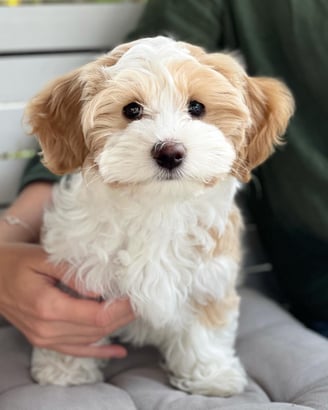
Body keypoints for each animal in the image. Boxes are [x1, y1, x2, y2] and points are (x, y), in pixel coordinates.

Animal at [25, 36, 294, 396]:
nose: (170, 151)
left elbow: (205, 331)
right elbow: (72, 330)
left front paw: (211, 376)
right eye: (132, 110)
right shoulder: (79, 271)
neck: (157, 207)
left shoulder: (209, 278)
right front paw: (64, 370)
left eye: (197, 108)